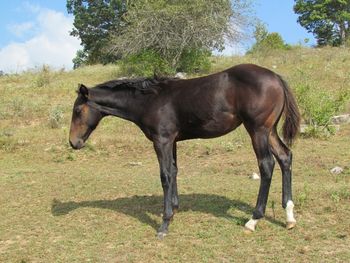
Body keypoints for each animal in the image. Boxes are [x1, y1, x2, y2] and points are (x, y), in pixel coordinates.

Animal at [69, 64, 300, 239]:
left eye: (78, 110)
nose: (73, 142)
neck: (149, 99)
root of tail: (276, 77)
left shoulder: (161, 140)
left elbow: (164, 175)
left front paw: (164, 224)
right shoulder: (172, 141)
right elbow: (174, 171)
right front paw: (174, 210)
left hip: (258, 130)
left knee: (267, 165)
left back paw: (253, 220)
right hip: (269, 130)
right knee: (285, 157)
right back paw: (289, 216)